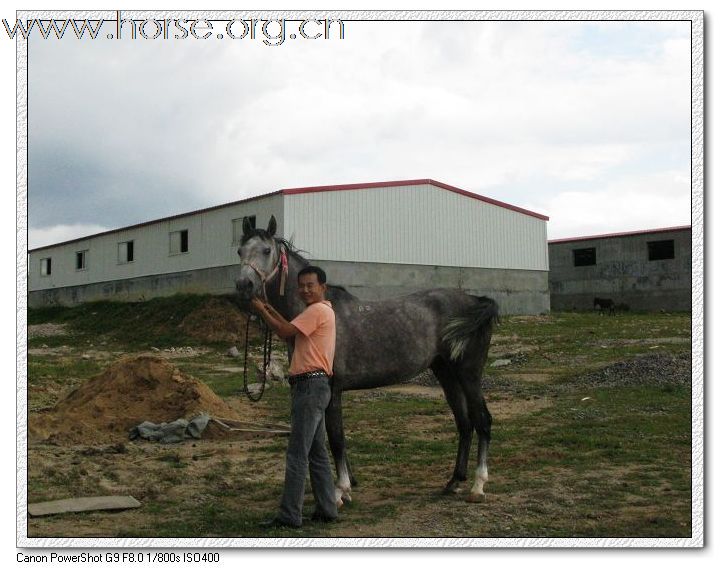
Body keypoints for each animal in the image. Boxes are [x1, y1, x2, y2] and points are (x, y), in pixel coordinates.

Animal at [236, 215, 500, 504]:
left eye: (266, 250)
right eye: (239, 251)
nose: (243, 286)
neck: (322, 313)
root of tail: (475, 300)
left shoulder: (333, 388)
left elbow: (336, 437)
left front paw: (340, 491)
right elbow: (327, 438)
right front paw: (346, 485)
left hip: (469, 374)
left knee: (482, 420)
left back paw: (477, 486)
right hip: (446, 372)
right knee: (464, 423)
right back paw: (453, 482)